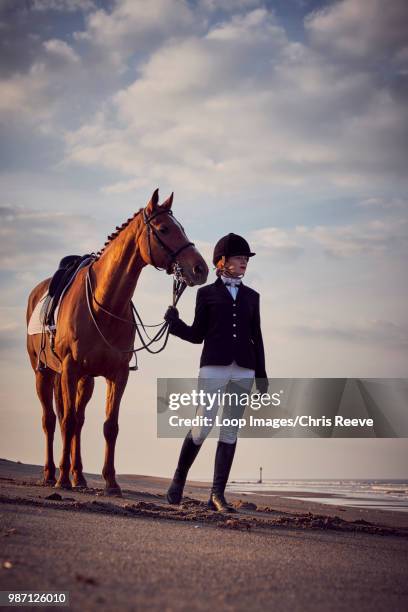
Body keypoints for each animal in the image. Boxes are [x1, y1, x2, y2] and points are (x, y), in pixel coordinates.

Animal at [27, 189, 209, 494]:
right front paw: (63, 479)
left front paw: (111, 482)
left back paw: (78, 476)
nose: (200, 268)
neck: (104, 302)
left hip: (85, 380)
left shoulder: (118, 374)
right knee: (51, 420)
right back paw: (53, 474)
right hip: (46, 373)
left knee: (77, 421)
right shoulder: (70, 369)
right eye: (164, 229)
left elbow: (109, 426)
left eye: (181, 228)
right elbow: (66, 420)